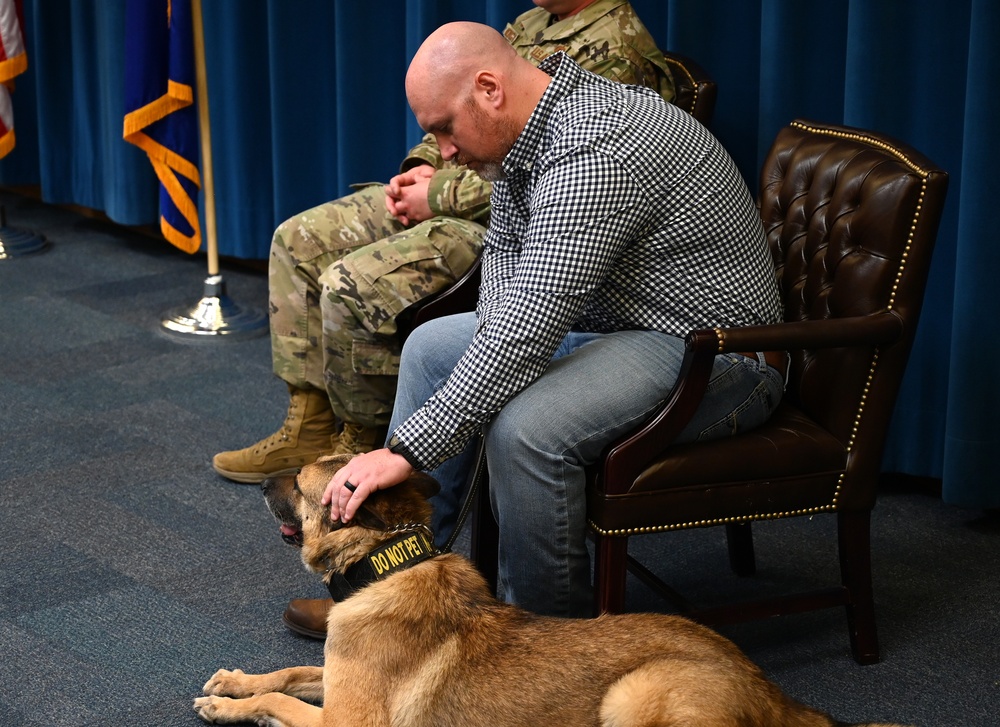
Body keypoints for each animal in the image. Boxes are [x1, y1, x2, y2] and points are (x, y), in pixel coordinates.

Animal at [191, 458, 912, 724]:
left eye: (300, 485)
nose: (263, 483)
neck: (389, 564)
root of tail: (768, 690)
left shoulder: (348, 721)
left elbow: (284, 695)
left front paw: (229, 708)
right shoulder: (338, 675)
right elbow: (288, 671)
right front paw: (235, 683)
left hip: (630, 697)